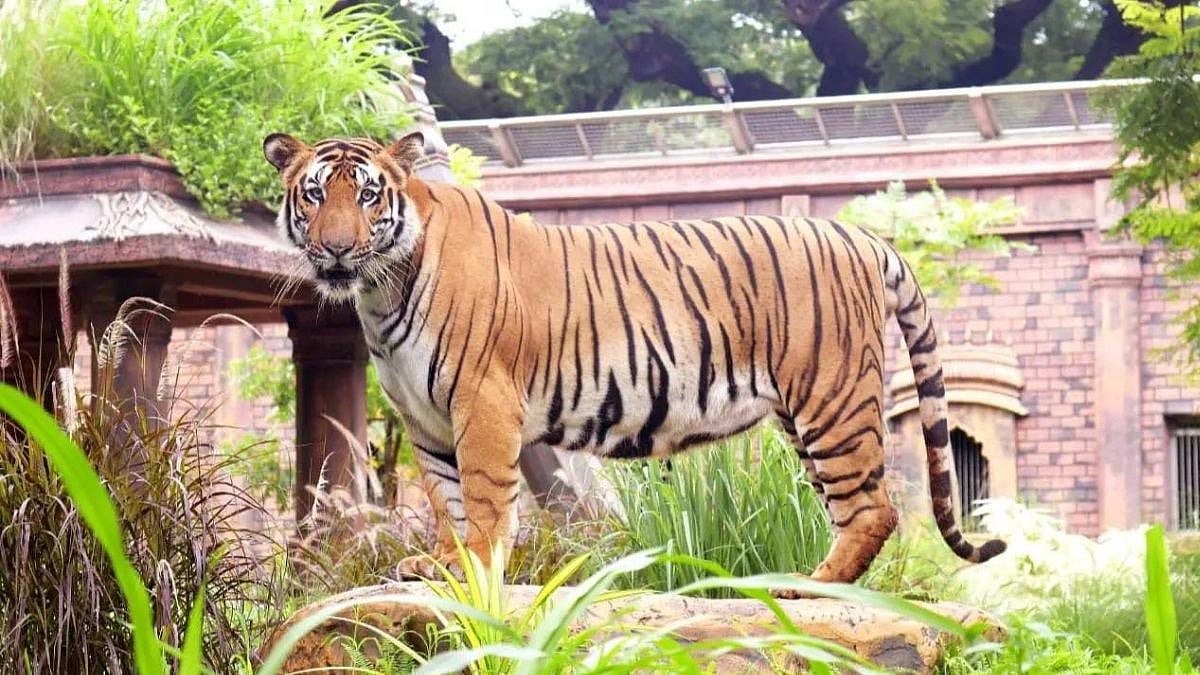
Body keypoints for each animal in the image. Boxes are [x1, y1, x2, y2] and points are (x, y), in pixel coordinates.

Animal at [262, 130, 1006, 595]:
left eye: (367, 194)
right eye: (314, 193)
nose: (335, 249)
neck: (380, 291)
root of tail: (860, 234)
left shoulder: (483, 403)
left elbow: (482, 499)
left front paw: (480, 571)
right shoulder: (425, 419)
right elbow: (446, 502)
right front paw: (444, 568)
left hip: (833, 400)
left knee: (874, 510)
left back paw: (806, 590)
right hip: (809, 415)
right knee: (857, 510)